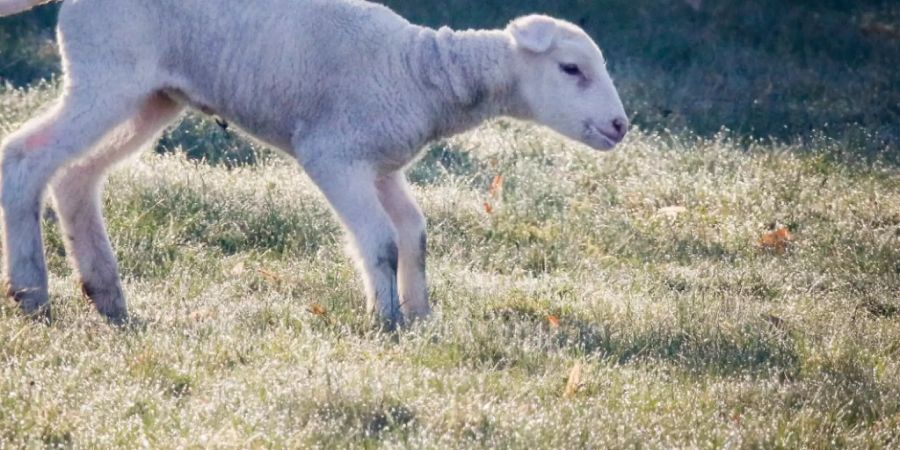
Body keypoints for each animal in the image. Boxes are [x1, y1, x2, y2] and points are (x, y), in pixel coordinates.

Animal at [0, 0, 628, 326]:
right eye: (571, 69)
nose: (622, 127)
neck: (424, 73)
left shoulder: (382, 164)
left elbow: (414, 234)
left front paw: (420, 316)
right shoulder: (334, 153)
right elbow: (380, 241)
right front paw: (386, 322)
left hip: (151, 95)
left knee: (75, 176)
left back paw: (106, 296)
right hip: (109, 74)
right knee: (25, 158)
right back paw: (32, 294)